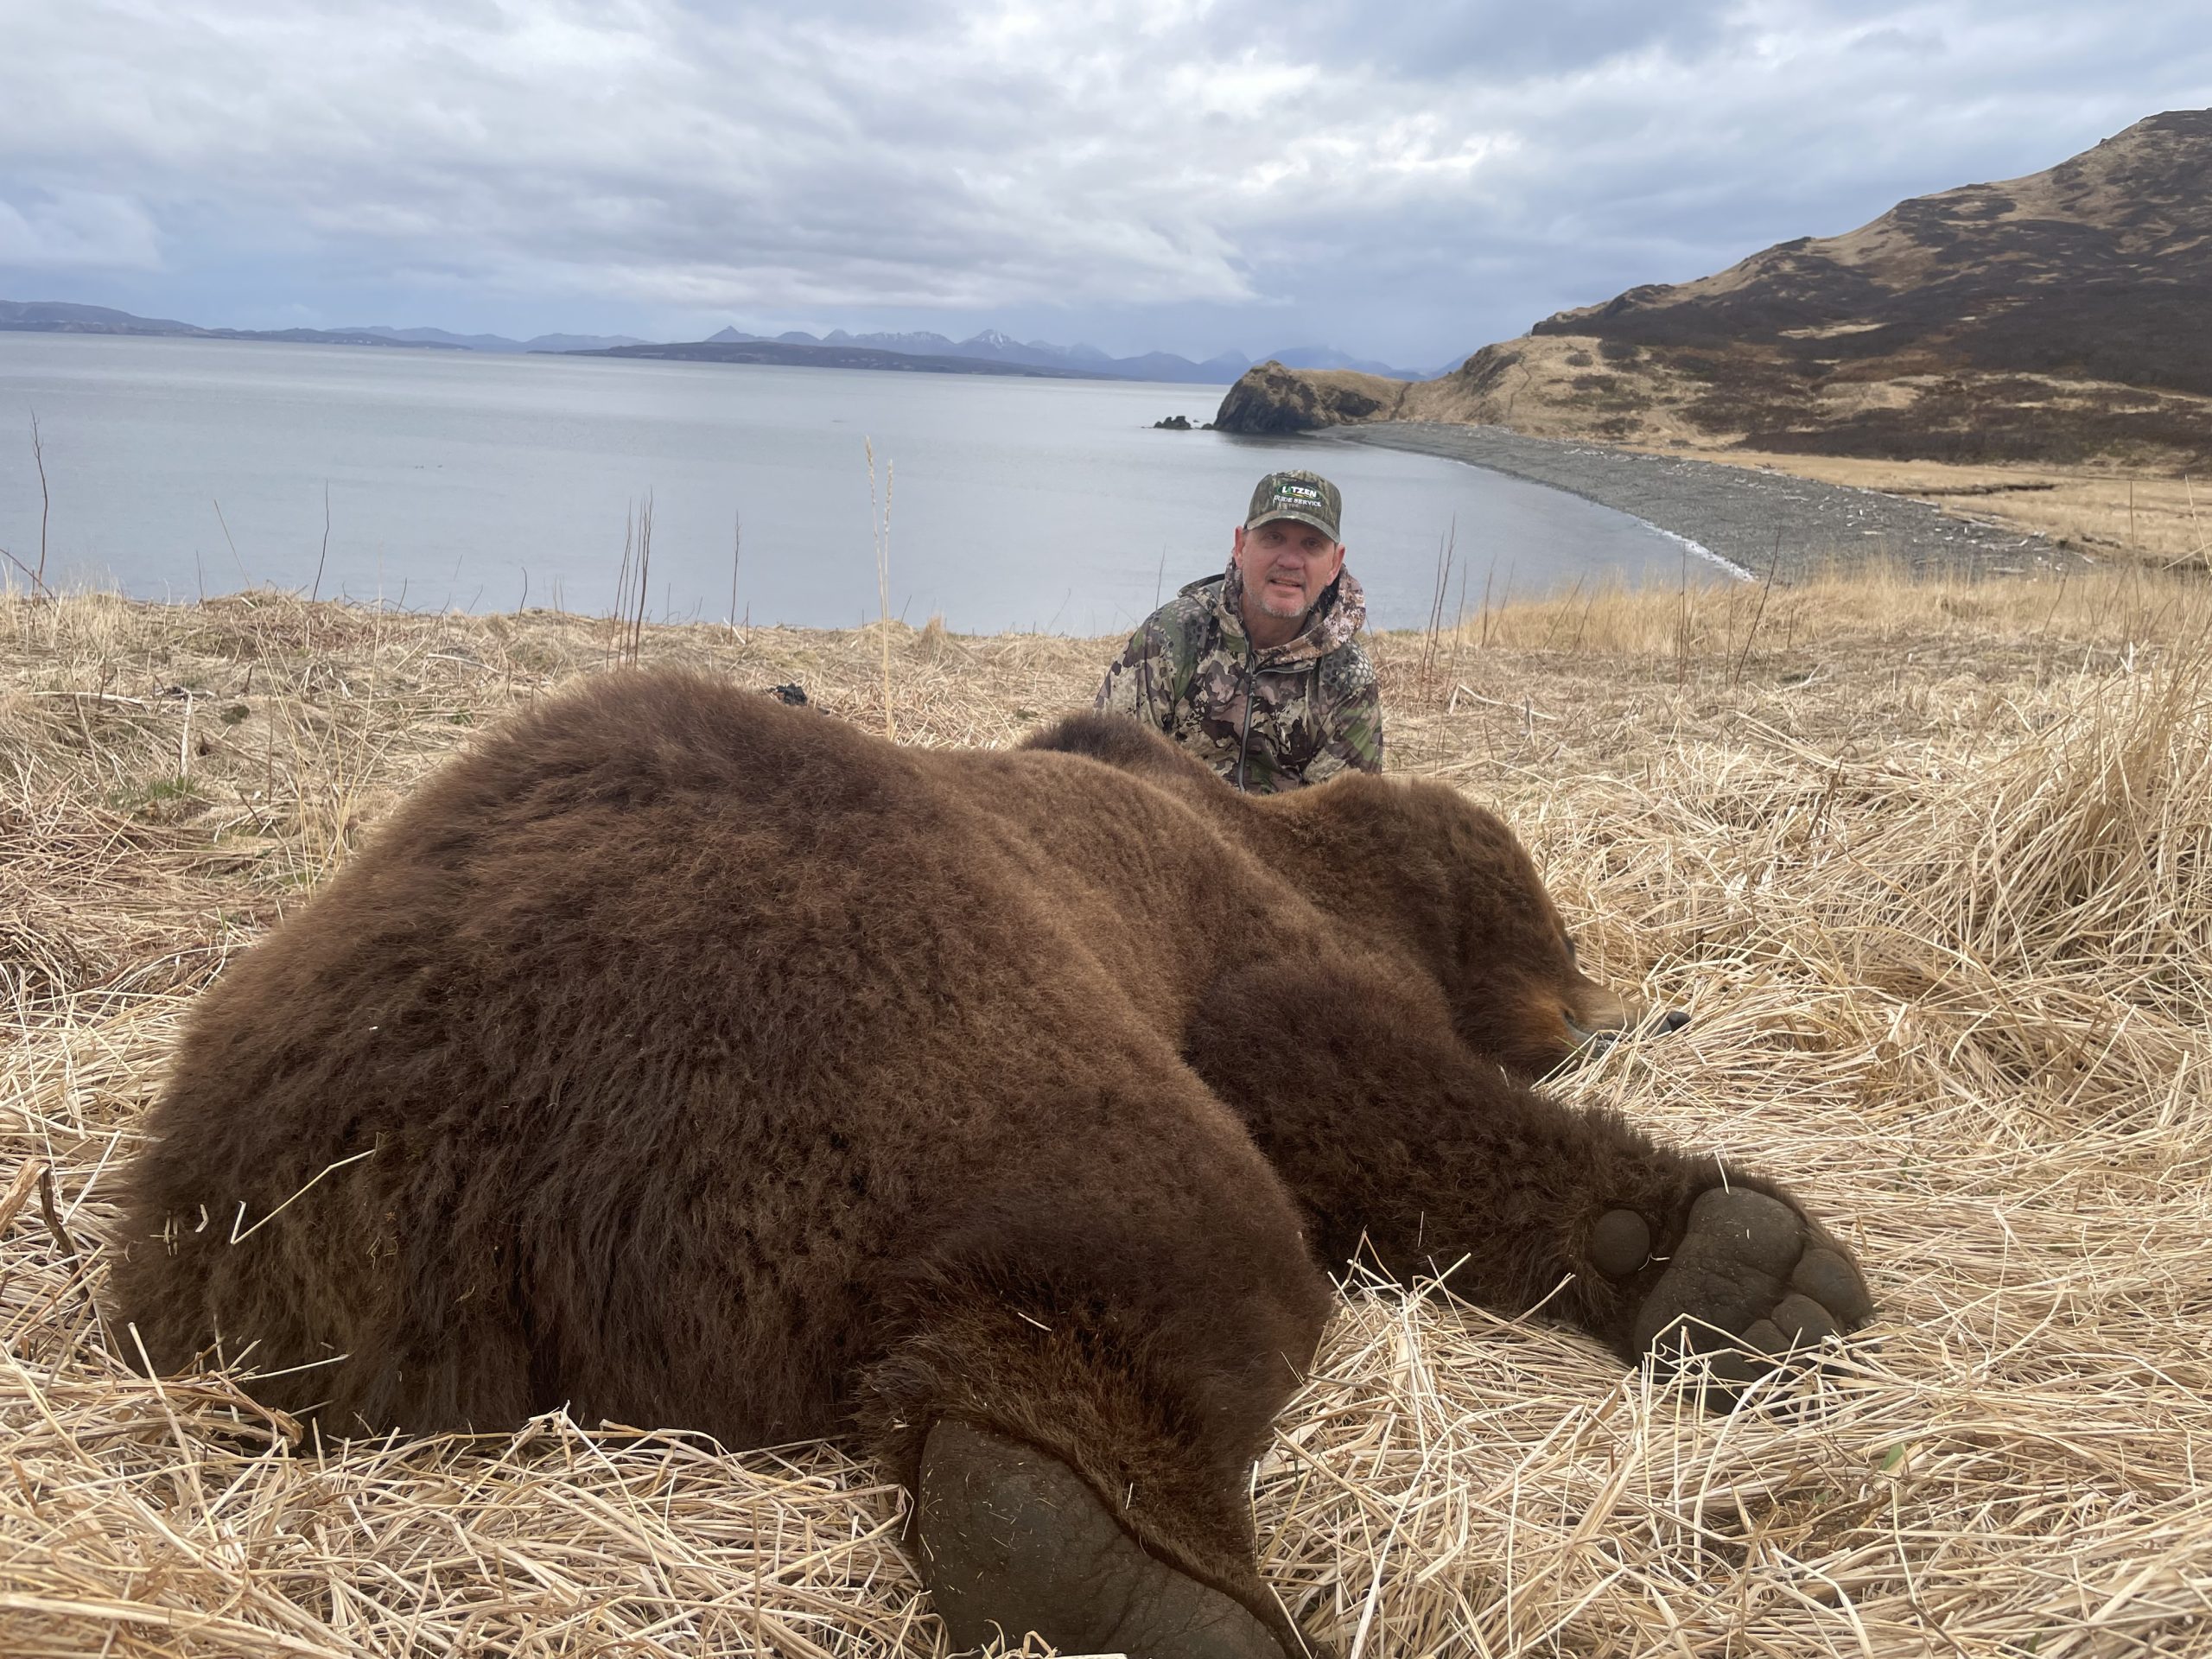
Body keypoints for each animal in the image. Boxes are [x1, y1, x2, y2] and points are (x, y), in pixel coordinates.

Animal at [111, 669, 1873, 1659]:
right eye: (1556, 923)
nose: (1608, 999)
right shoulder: (1239, 942)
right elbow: (1357, 1087)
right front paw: (1742, 1252)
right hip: (874, 1005)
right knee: (1169, 1227)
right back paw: (1138, 1574)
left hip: (272, 1208)